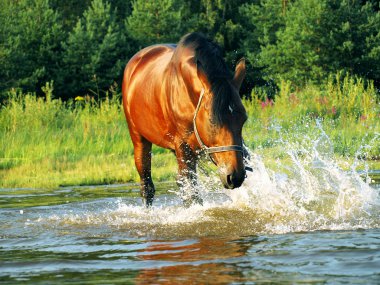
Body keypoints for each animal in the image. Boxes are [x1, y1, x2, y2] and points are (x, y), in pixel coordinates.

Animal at [121, 32, 249, 206]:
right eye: (212, 120)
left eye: (243, 119)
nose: (235, 176)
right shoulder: (183, 147)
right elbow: (192, 195)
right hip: (139, 139)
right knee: (147, 187)